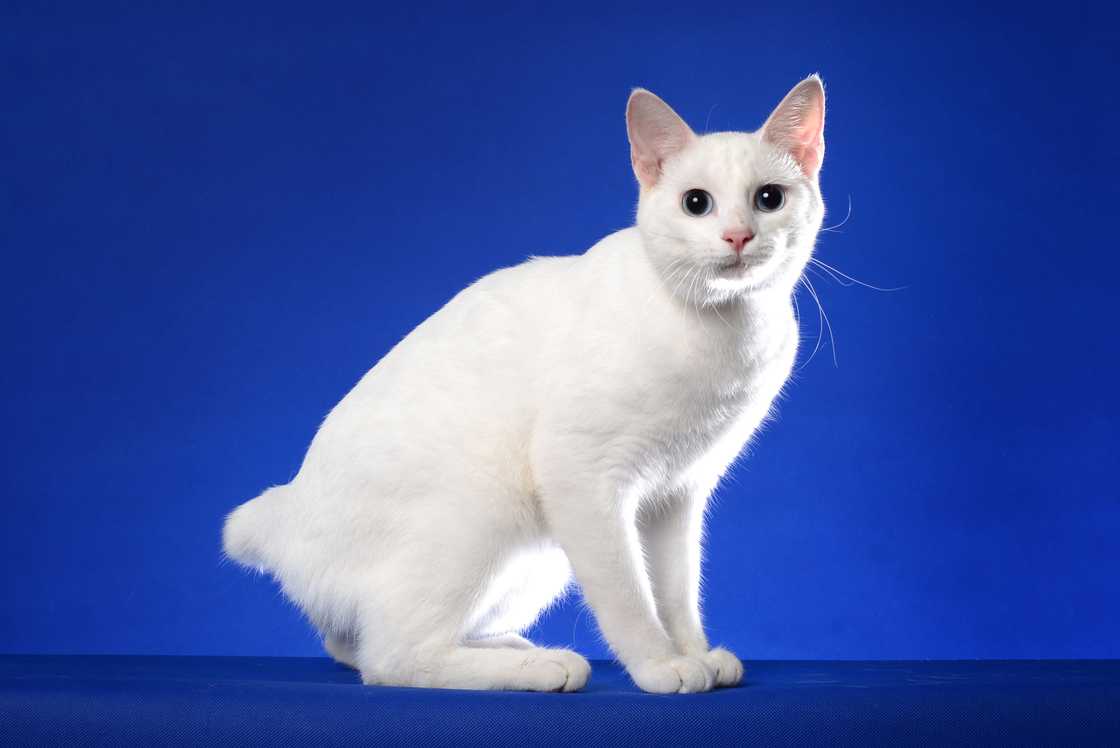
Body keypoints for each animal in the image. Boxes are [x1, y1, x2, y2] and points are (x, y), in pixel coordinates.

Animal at [222, 77, 828, 694]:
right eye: (697, 203)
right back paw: (545, 666)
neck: (727, 331)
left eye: (769, 199)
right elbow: (628, 595)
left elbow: (677, 590)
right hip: (485, 510)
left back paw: (515, 646)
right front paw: (662, 665)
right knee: (392, 656)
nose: (738, 236)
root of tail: (285, 513)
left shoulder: (677, 493)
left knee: (353, 641)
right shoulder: (583, 472)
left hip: (538, 558)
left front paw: (696, 652)